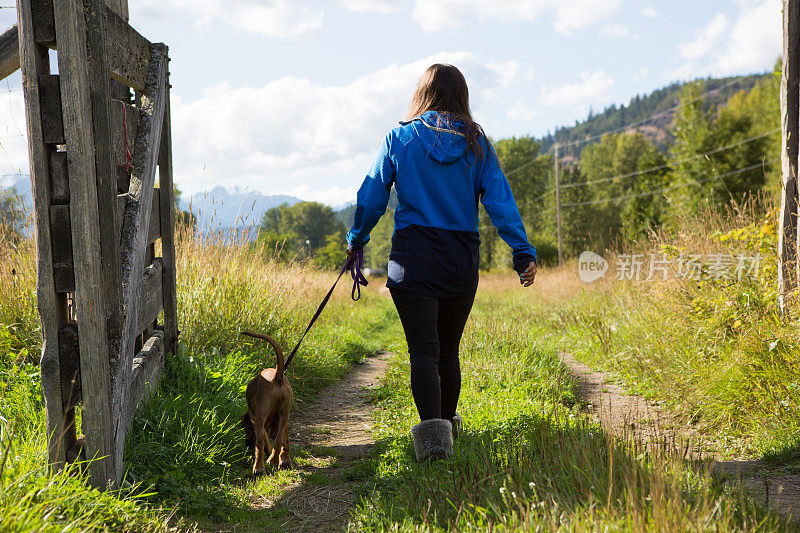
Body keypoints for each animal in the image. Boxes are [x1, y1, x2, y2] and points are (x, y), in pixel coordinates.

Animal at [241, 328, 296, 474]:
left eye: (244, 427)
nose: (247, 444)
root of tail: (277, 377)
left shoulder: (256, 419)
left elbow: (264, 438)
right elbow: (284, 439)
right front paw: (284, 461)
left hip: (261, 415)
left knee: (260, 439)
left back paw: (259, 467)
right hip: (285, 412)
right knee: (279, 438)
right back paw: (274, 460)